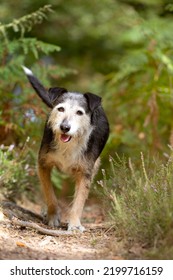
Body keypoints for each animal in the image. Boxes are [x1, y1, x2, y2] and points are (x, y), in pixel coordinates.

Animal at [22, 65, 109, 232]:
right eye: (60, 109)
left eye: (79, 112)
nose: (65, 127)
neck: (69, 144)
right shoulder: (43, 164)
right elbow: (49, 194)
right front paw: (52, 216)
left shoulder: (85, 173)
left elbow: (79, 201)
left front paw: (74, 224)